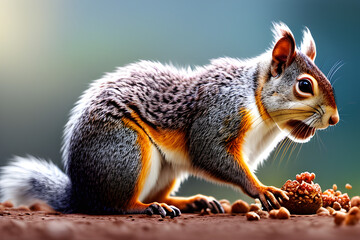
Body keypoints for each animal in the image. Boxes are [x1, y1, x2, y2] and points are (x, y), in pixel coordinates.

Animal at [0, 23, 338, 218]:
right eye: (304, 85)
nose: (334, 119)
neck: (255, 98)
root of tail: (81, 192)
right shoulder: (218, 112)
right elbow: (209, 151)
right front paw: (262, 189)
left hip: (166, 171)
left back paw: (192, 202)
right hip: (126, 153)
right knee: (112, 205)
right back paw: (148, 207)